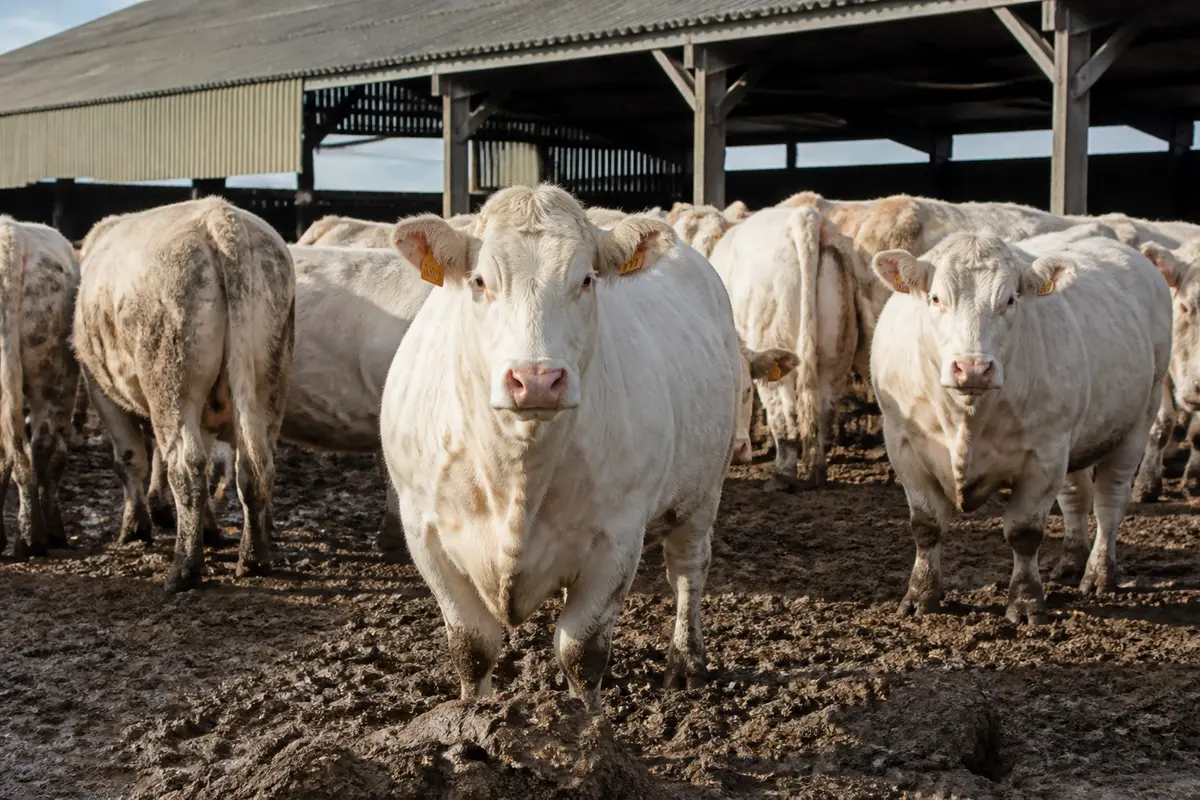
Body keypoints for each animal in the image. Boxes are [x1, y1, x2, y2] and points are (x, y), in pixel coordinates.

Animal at [74, 197, 295, 593]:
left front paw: (135, 528)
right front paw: (208, 529)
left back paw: (184, 569)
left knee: (186, 465)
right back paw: (253, 559)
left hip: (172, 387)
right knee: (254, 468)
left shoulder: (101, 390)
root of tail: (221, 217)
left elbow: (130, 458)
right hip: (268, 383)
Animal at [380, 184, 742, 709]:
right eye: (480, 281)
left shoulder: (617, 536)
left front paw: (588, 722)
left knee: (688, 570)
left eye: (587, 279)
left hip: (703, 489)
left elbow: (581, 650)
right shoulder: (424, 531)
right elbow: (472, 646)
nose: (536, 380)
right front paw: (471, 717)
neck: (517, 474)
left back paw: (687, 663)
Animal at [710, 206, 861, 488]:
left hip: (773, 344)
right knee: (823, 411)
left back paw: (783, 474)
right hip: (836, 350)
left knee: (785, 415)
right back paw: (816, 472)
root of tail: (805, 218)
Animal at [870, 233, 1170, 624]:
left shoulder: (1044, 455)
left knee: (1109, 502)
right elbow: (926, 525)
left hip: (1137, 423)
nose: (972, 368)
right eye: (935, 298)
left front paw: (1026, 602)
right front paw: (921, 596)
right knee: (1076, 496)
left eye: (1010, 299)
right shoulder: (903, 445)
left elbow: (1024, 533)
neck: (967, 417)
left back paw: (1099, 573)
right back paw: (1071, 562)